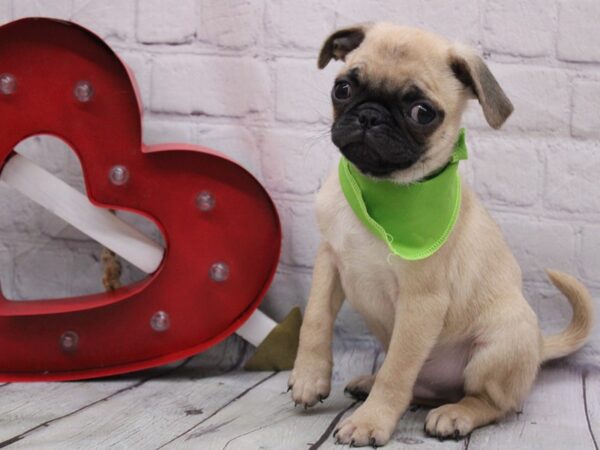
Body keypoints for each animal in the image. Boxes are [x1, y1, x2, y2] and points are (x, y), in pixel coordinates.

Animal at [288, 22, 592, 446]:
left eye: (422, 113)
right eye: (343, 89)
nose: (369, 116)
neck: (381, 191)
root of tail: (538, 346)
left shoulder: (421, 303)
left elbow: (398, 369)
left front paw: (371, 422)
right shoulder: (329, 262)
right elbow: (315, 321)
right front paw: (309, 378)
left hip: (499, 342)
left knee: (494, 403)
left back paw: (455, 414)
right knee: (419, 387)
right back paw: (370, 383)